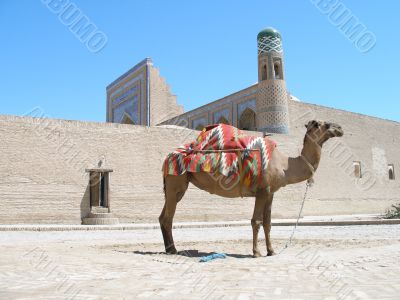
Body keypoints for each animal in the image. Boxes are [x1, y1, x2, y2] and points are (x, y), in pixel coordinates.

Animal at [159, 120, 344, 256]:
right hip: (176, 181)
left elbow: (268, 223)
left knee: (163, 217)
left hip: (174, 187)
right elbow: (256, 221)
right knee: (168, 217)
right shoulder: (262, 191)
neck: (285, 165)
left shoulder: (270, 192)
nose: (340, 128)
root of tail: (167, 158)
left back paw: (169, 249)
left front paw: (271, 251)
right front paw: (256, 252)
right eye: (322, 124)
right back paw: (173, 250)